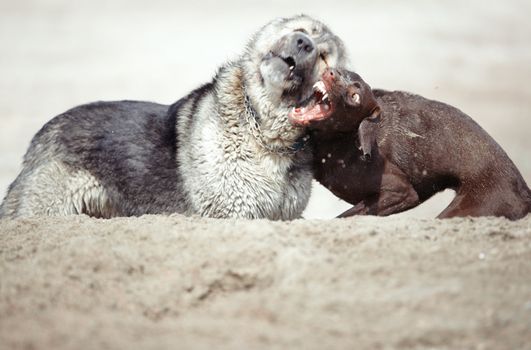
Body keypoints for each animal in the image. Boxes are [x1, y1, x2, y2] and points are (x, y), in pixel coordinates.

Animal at [0, 16, 348, 220]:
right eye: (301, 32)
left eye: (323, 56)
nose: (303, 44)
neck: (262, 129)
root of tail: (40, 137)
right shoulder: (231, 212)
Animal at [290, 69, 531, 219]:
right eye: (341, 71)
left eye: (354, 96)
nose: (330, 72)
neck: (344, 138)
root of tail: (524, 190)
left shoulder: (401, 191)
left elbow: (346, 216)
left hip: (465, 209)